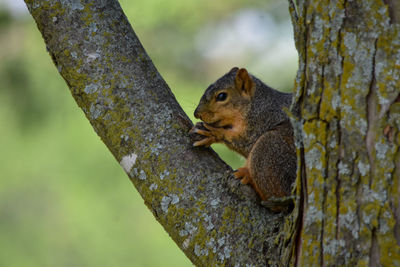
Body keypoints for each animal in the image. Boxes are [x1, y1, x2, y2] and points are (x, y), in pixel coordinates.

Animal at [189, 67, 296, 211]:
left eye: (221, 96)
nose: (197, 114)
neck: (256, 105)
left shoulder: (262, 122)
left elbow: (245, 142)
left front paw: (213, 133)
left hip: (270, 149)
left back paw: (247, 176)